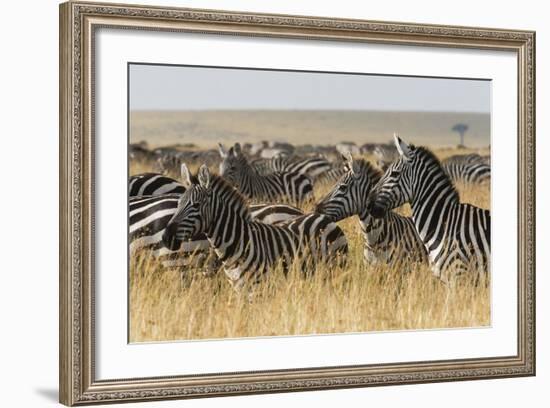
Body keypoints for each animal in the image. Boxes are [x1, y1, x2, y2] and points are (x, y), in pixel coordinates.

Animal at [162, 165, 350, 290]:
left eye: (196, 205)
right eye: (178, 203)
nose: (166, 237)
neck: (237, 240)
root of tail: (325, 218)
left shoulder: (257, 287)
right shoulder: (238, 288)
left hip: (335, 269)